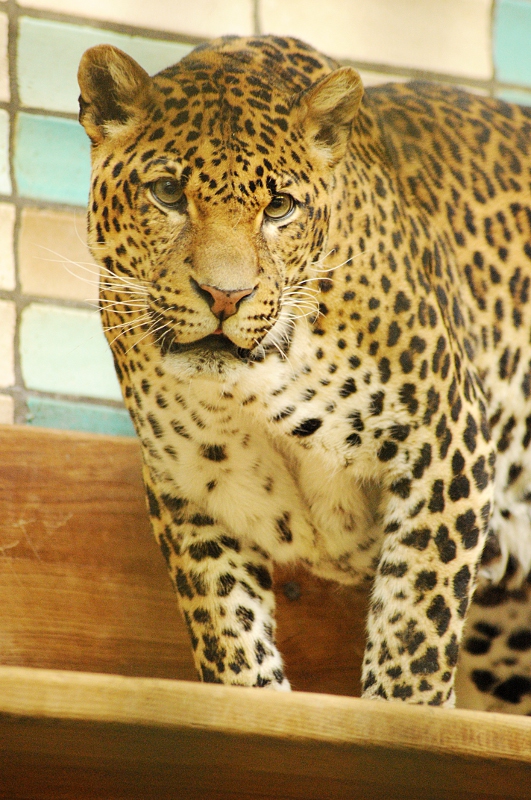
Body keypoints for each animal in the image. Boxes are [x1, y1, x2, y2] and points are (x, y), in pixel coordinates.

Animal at [77, 34, 531, 712]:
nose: (225, 296)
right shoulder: (192, 491)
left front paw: (400, 712)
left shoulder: (446, 449)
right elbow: (228, 632)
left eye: (279, 207)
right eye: (167, 193)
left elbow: (415, 632)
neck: (255, 386)